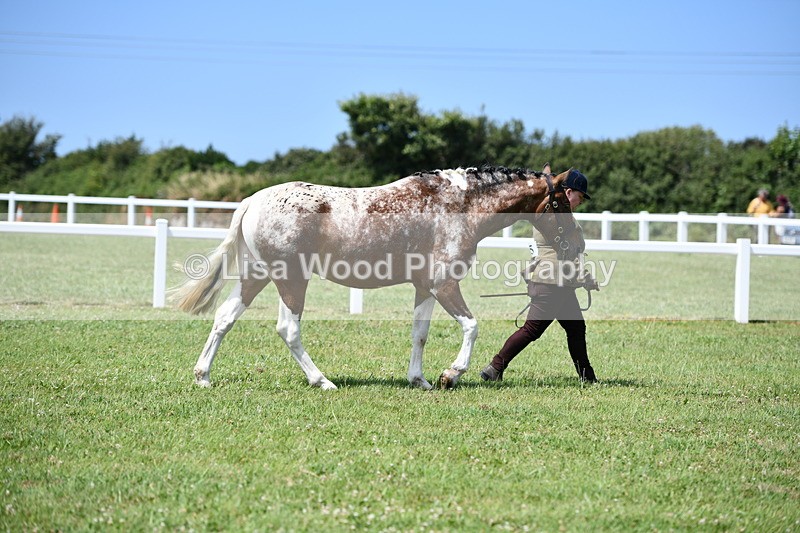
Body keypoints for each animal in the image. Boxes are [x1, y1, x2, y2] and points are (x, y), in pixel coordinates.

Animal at [170, 164, 583, 390]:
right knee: (288, 329)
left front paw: (420, 380)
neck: (460, 206)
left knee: (225, 317)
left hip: (257, 276)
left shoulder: (425, 287)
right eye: (561, 203)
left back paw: (203, 375)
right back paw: (322, 380)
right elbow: (471, 326)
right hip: (291, 280)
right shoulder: (444, 284)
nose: (578, 244)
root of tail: (252, 201)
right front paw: (451, 374)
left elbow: (420, 334)